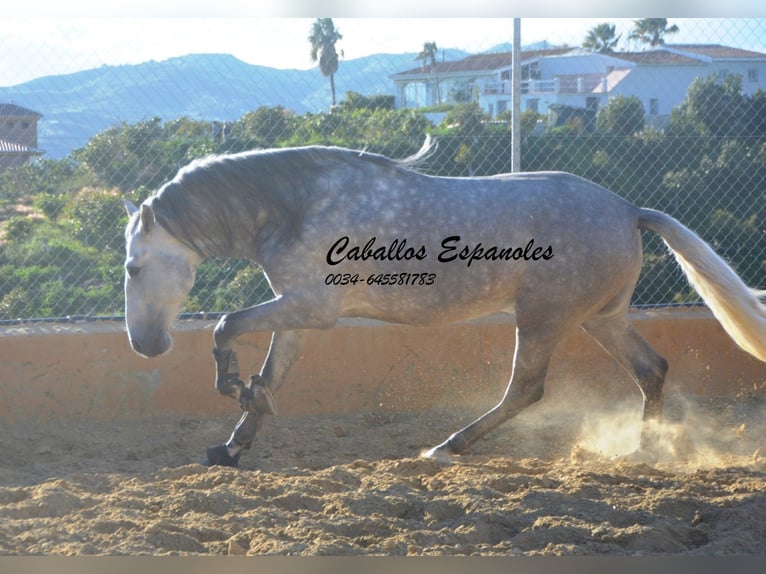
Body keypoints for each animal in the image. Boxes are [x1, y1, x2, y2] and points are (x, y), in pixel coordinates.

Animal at [123, 143, 764, 468]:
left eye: (132, 268)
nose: (146, 346)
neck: (296, 203)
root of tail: (631, 210)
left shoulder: (313, 306)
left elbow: (226, 327)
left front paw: (231, 388)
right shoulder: (300, 311)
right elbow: (271, 371)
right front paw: (233, 443)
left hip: (544, 318)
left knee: (526, 389)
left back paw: (444, 447)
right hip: (598, 318)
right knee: (650, 369)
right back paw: (642, 451)